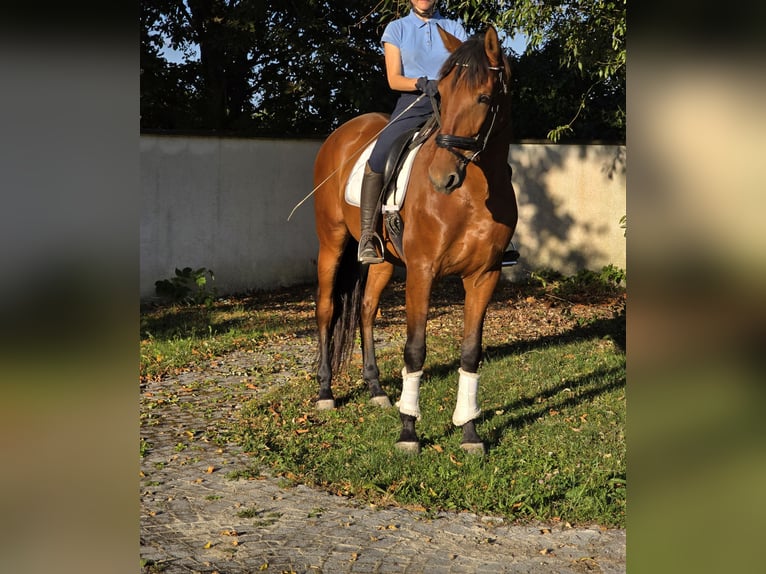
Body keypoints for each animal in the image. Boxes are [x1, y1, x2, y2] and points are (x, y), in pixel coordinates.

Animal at [316, 27, 520, 456]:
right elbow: (415, 349)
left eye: (484, 98)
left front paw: (469, 431)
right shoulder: (423, 272)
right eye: (440, 94)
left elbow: (471, 353)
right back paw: (325, 392)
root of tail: (341, 134)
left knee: (366, 310)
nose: (442, 177)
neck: (472, 194)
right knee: (326, 309)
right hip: (332, 243)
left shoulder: (484, 276)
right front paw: (408, 430)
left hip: (384, 261)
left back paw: (375, 388)